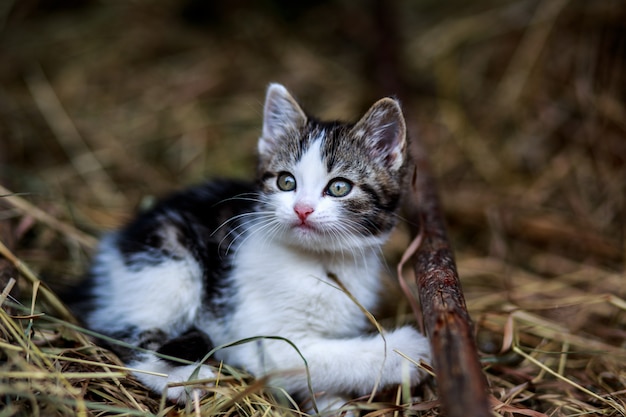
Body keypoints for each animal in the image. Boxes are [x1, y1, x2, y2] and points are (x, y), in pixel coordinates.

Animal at [74, 83, 428, 412]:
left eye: (340, 187)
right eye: (286, 182)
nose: (302, 209)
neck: (319, 261)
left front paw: (333, 405)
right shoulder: (265, 343)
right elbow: (320, 358)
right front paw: (408, 349)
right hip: (167, 262)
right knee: (127, 337)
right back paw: (183, 381)